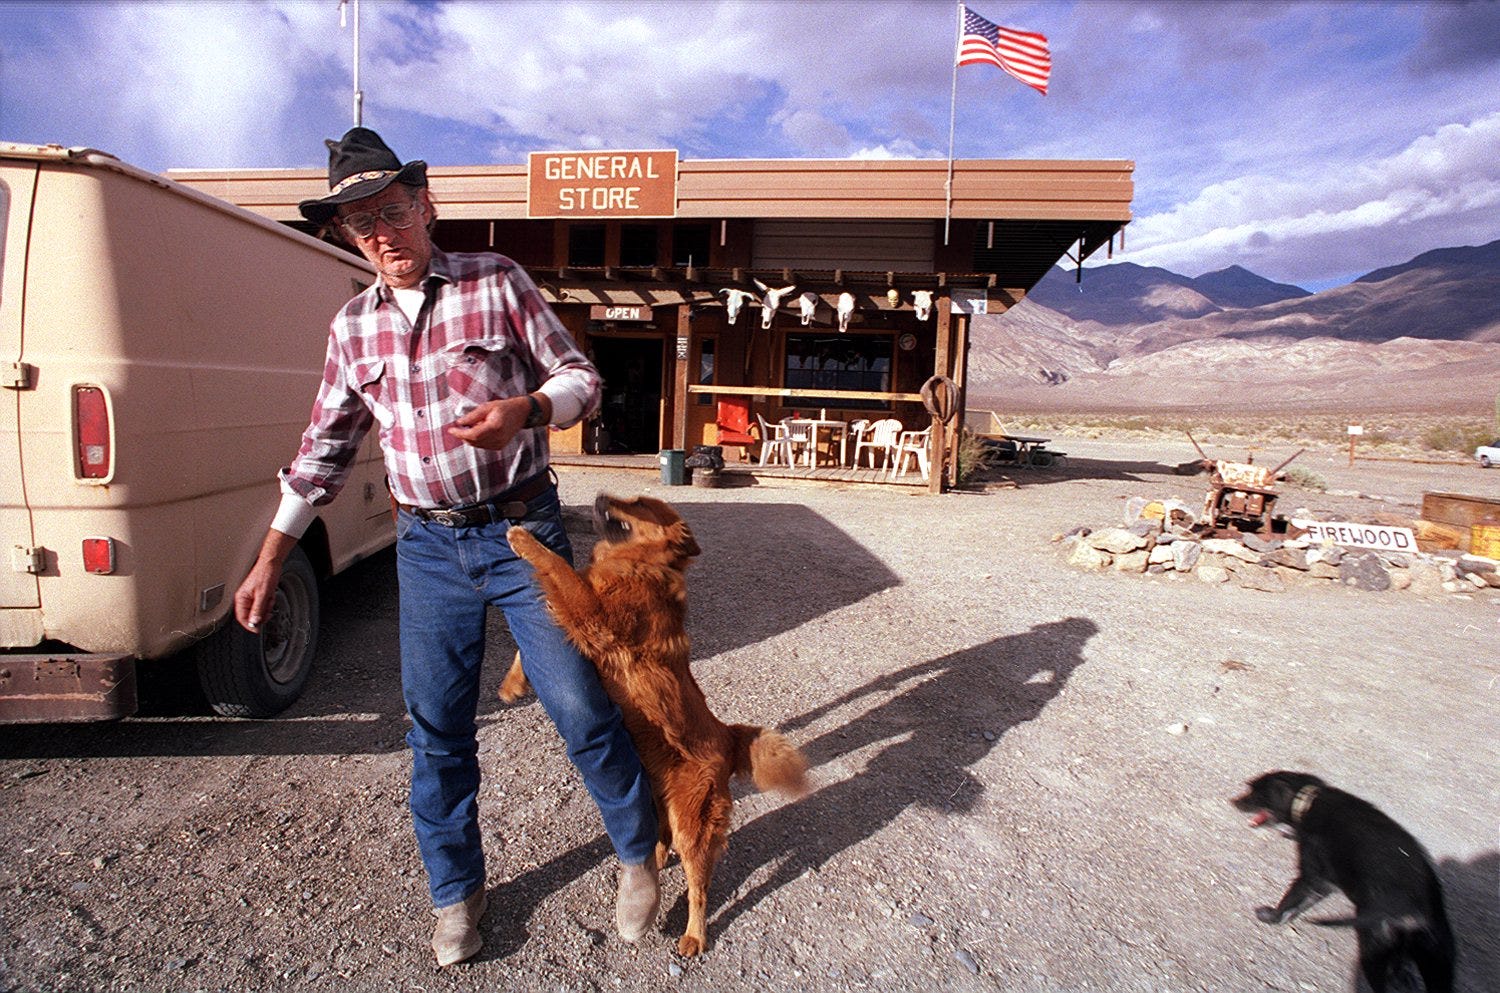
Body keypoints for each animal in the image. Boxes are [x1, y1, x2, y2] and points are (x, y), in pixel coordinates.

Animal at [501, 495, 810, 960]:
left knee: (700, 888)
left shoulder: (595, 615)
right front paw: (511, 684)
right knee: (660, 834)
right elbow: (534, 637)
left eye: (641, 504)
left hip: (693, 824)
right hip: (655, 790)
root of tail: (728, 735)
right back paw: (658, 858)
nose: (601, 494)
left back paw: (694, 935)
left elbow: (557, 567)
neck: (635, 562)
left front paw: (522, 539)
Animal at [1230, 780, 1452, 993]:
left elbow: (1292, 896)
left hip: (1375, 945)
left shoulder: (1311, 871)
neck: (1310, 802)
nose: (1233, 801)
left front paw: (1272, 916)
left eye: (1254, 792)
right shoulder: (1324, 882)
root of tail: (1417, 914)